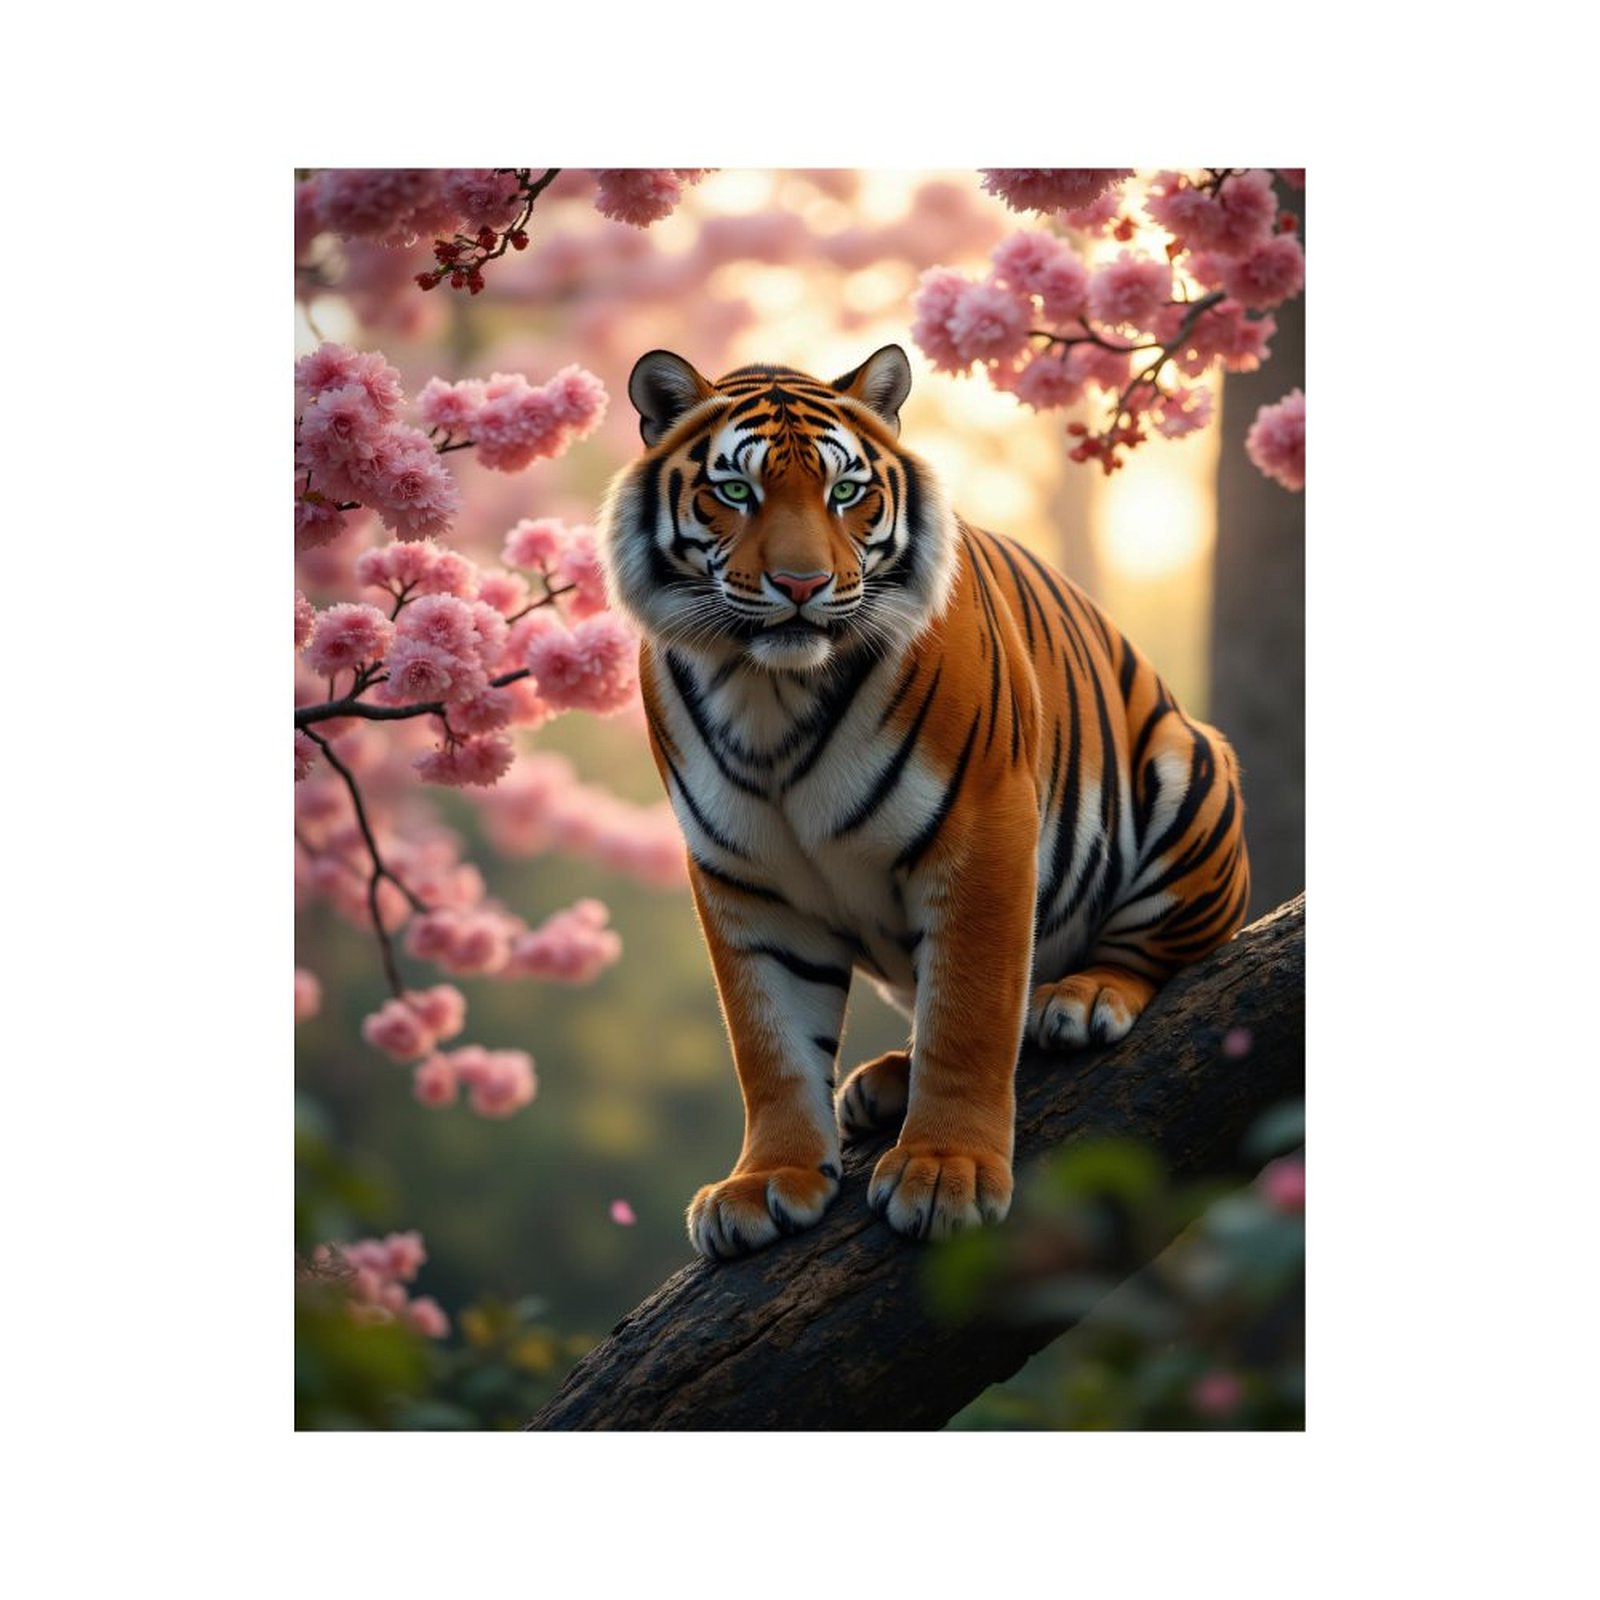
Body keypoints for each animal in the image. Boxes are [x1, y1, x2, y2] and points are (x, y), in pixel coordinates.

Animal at [597, 343, 1250, 1260]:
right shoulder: (741, 875)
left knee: (1151, 951)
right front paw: (766, 1183)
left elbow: (969, 1014)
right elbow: (769, 1042)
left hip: (1186, 767)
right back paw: (883, 1084)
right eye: (736, 492)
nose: (801, 584)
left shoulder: (982, 827)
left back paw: (1079, 999)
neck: (770, 695)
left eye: (845, 491)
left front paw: (946, 1173)